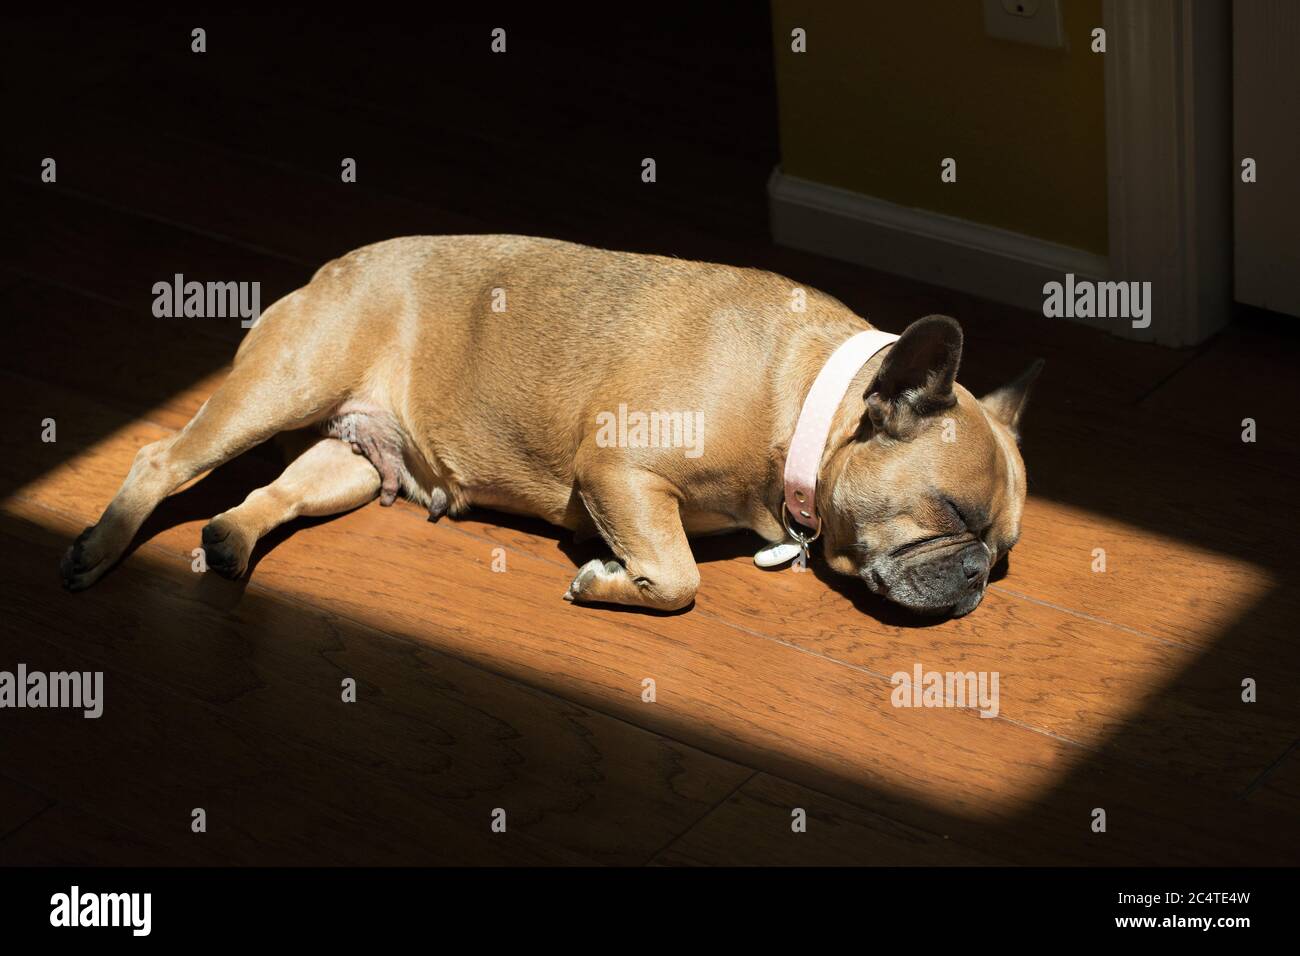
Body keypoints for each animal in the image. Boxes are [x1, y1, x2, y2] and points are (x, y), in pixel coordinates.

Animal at [61, 235, 1040, 616]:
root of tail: (328, 269)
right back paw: (100, 548)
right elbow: (677, 578)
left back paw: (231, 539)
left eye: (1001, 554)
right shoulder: (618, 471)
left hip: (352, 460)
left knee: (276, 490)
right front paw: (606, 581)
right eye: (952, 517)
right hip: (282, 388)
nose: (977, 579)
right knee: (161, 458)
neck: (801, 403)